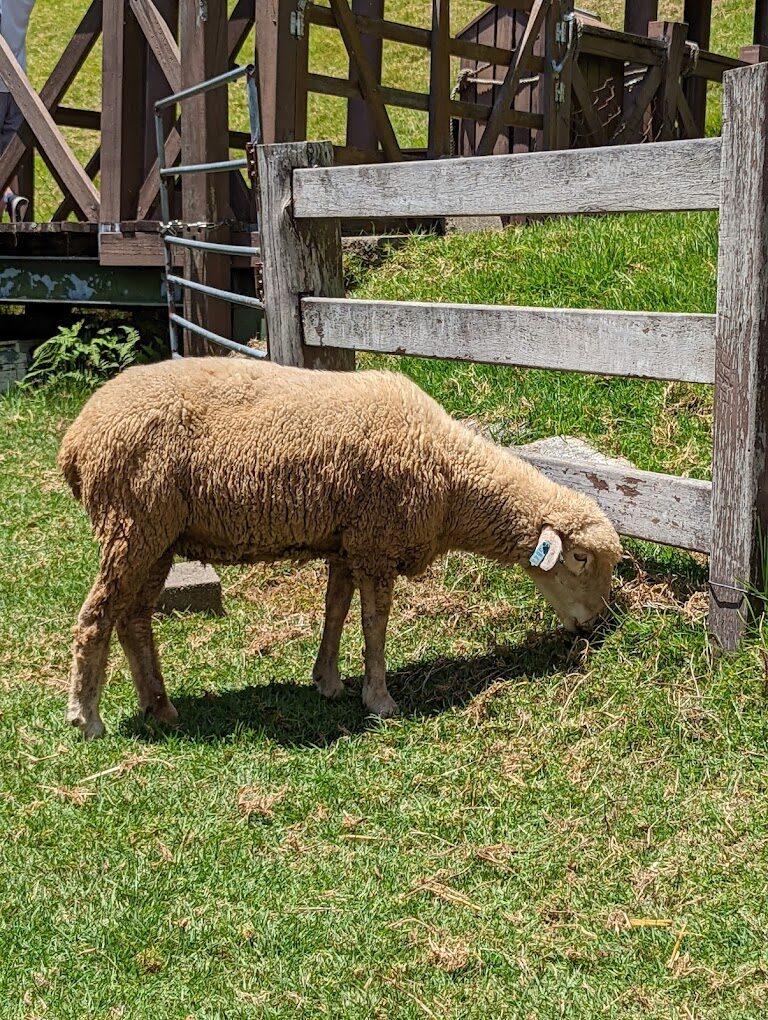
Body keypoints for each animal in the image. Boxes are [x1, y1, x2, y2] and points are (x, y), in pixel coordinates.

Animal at [61, 357, 624, 734]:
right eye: (579, 558)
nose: (595, 624)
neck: (451, 479)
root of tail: (76, 439)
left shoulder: (347, 540)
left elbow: (335, 610)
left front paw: (327, 682)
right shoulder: (376, 542)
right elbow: (374, 624)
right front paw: (380, 699)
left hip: (155, 538)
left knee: (134, 619)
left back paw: (160, 707)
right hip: (132, 524)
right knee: (97, 617)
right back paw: (87, 718)